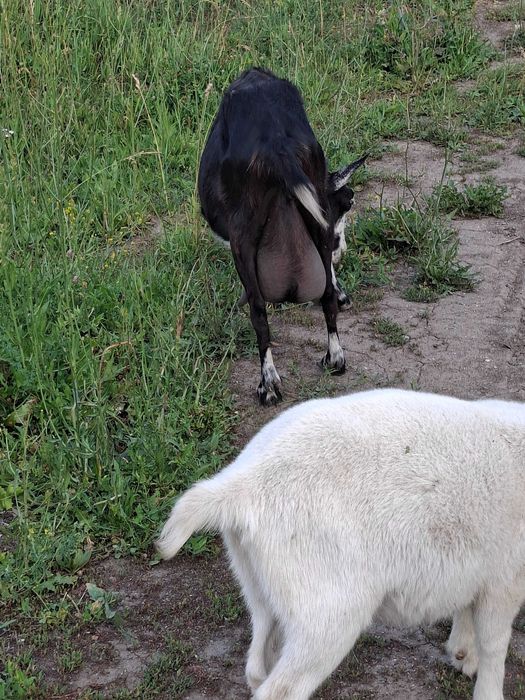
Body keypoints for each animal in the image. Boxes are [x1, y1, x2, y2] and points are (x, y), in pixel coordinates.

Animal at [157, 388, 525, 700]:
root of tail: (240, 485)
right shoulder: (506, 578)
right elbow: (495, 643)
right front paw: (487, 688)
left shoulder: (485, 568)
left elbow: (468, 611)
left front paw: (463, 654)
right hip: (327, 608)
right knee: (281, 689)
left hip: (260, 584)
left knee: (258, 664)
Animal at [198, 68, 366, 405]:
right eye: (345, 208)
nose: (342, 248)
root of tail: (276, 144)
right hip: (315, 216)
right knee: (326, 297)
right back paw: (335, 359)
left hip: (244, 236)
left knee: (259, 314)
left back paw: (268, 385)